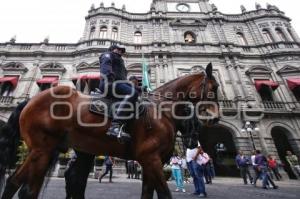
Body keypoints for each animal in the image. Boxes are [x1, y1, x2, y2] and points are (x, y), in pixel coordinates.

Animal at [0, 63, 220, 198]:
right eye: (214, 87)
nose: (215, 117)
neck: (161, 111)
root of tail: (31, 101)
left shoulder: (149, 163)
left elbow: (147, 194)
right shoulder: (151, 159)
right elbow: (164, 194)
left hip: (47, 150)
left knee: (15, 183)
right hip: (42, 150)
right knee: (26, 188)